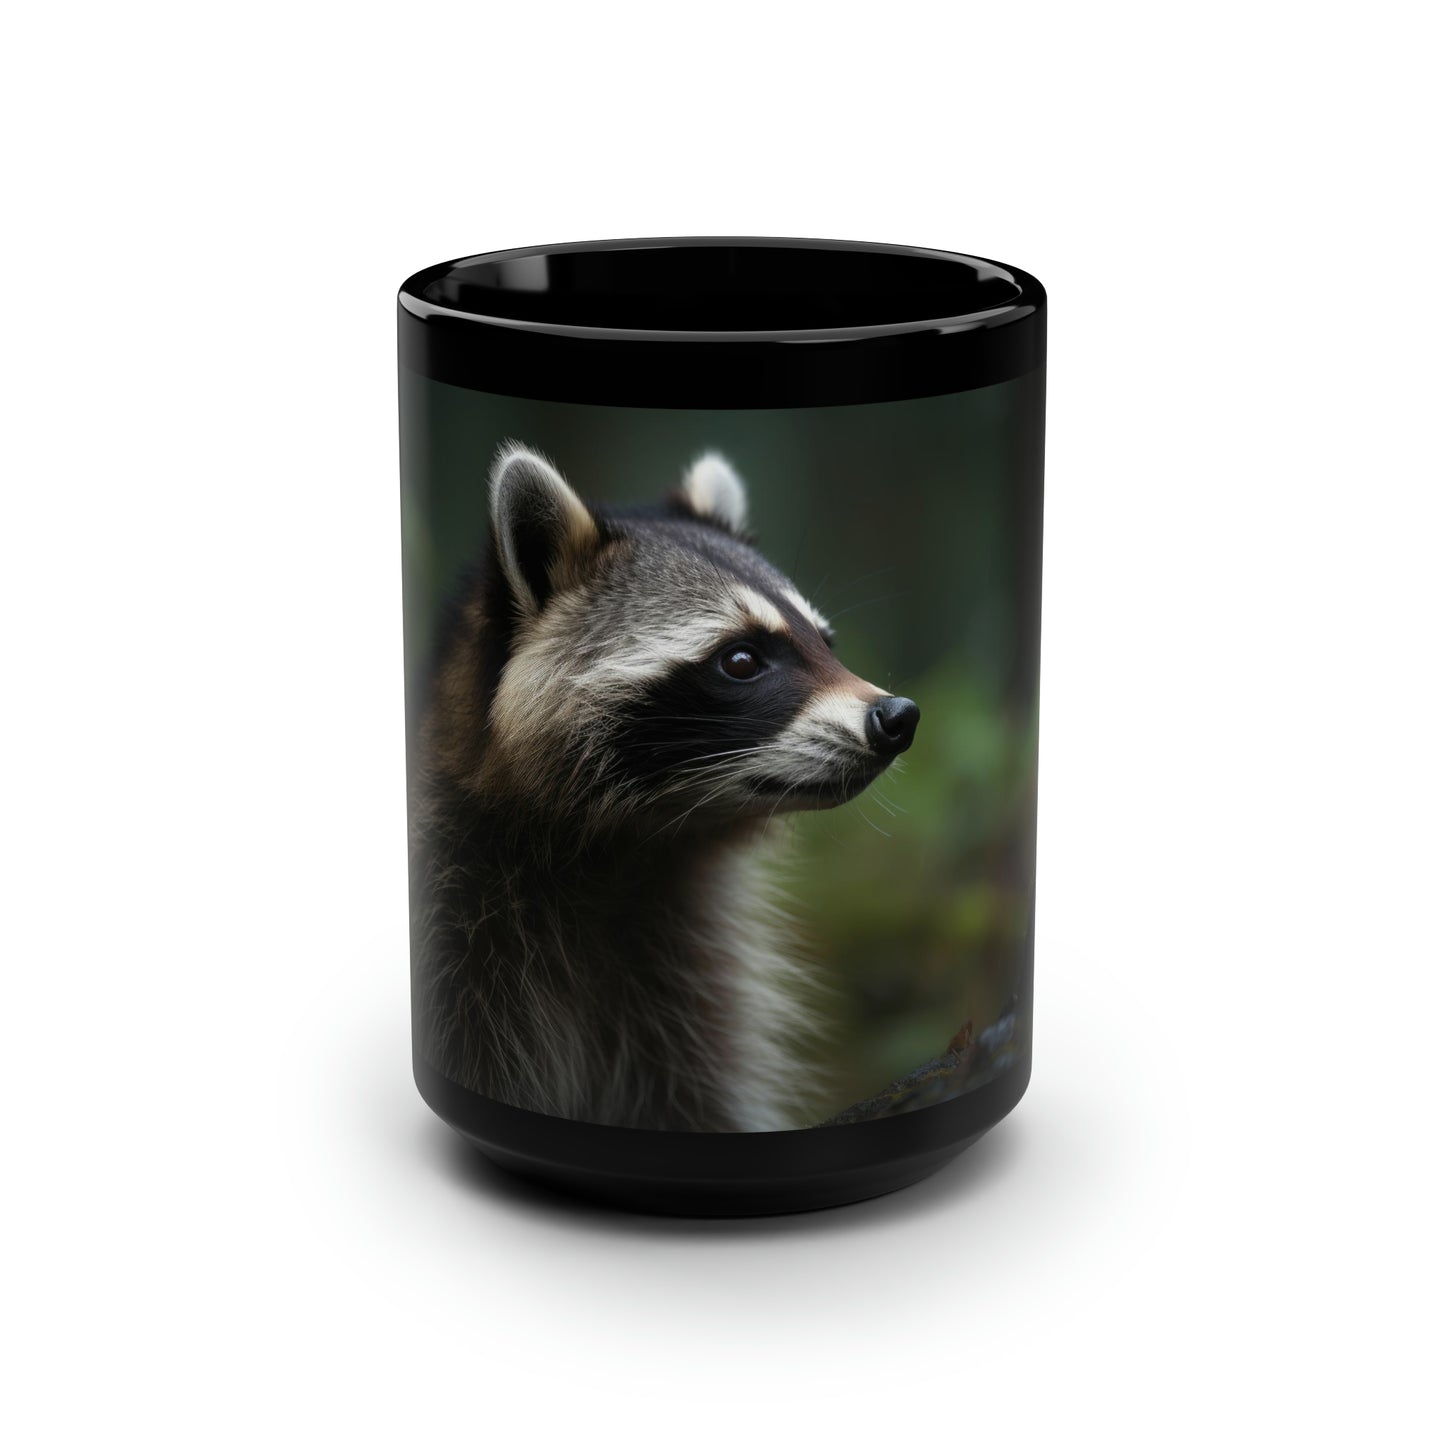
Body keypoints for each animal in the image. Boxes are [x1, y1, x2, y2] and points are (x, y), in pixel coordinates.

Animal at [409, 443, 919, 1132]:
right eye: (741, 659)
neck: (625, 849)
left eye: (825, 642)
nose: (897, 718)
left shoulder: (678, 961)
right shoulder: (456, 933)